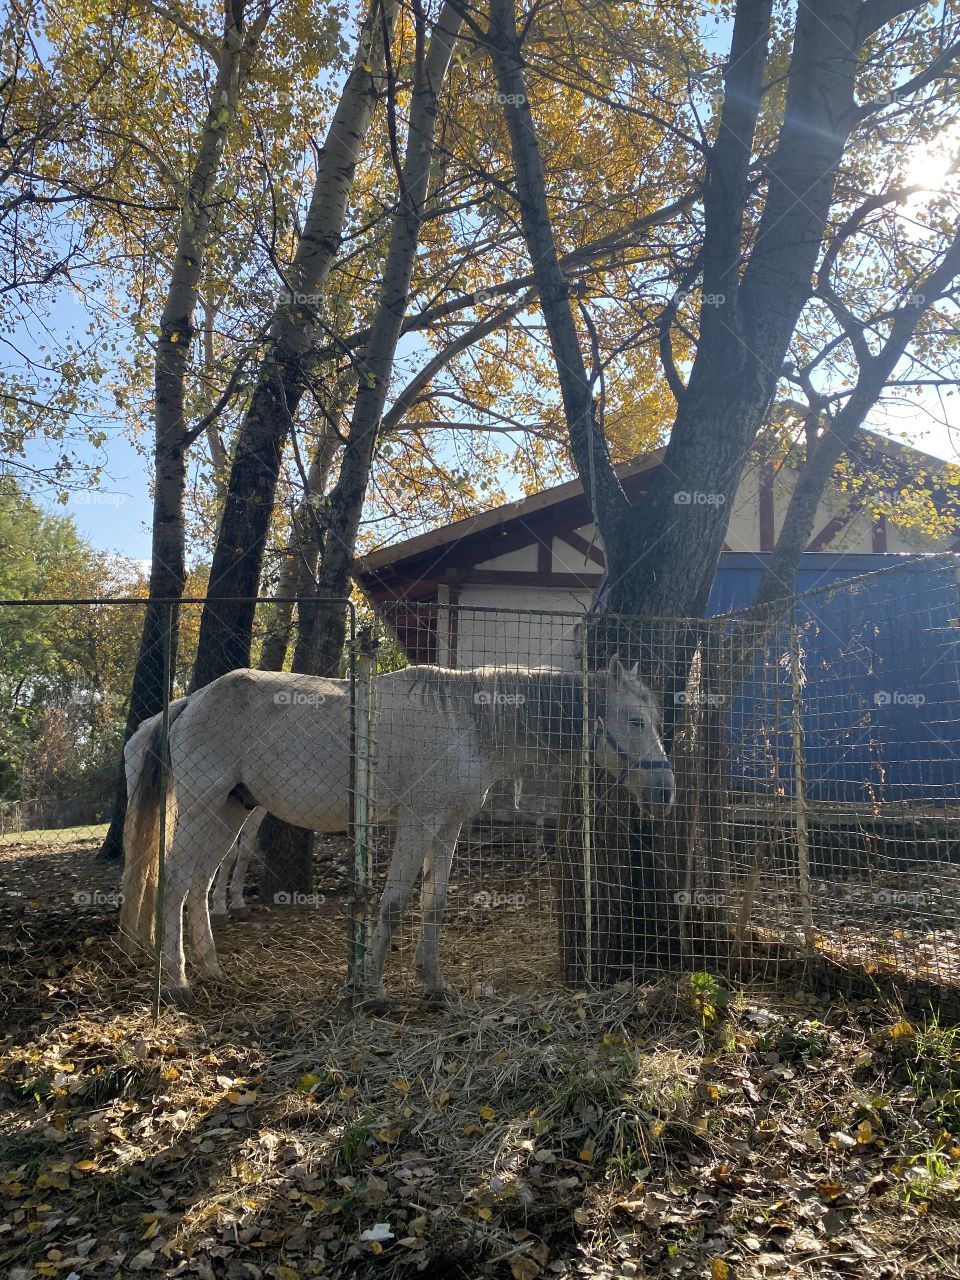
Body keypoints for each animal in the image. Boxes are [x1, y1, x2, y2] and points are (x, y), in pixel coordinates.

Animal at [119, 656, 674, 1005]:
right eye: (634, 720)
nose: (665, 791)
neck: (472, 721)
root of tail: (189, 702)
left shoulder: (448, 826)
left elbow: (434, 903)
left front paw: (434, 983)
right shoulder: (418, 820)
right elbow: (394, 902)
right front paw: (374, 988)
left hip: (228, 814)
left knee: (197, 885)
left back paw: (211, 969)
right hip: (200, 808)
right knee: (174, 884)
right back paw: (177, 981)